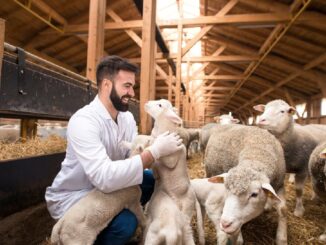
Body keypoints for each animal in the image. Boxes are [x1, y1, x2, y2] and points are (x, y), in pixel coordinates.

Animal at [145, 99, 205, 245]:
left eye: (160, 105)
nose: (146, 103)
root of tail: (194, 196)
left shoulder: (172, 158)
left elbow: (165, 157)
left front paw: (154, 145)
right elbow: (155, 167)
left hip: (186, 210)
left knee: (187, 231)